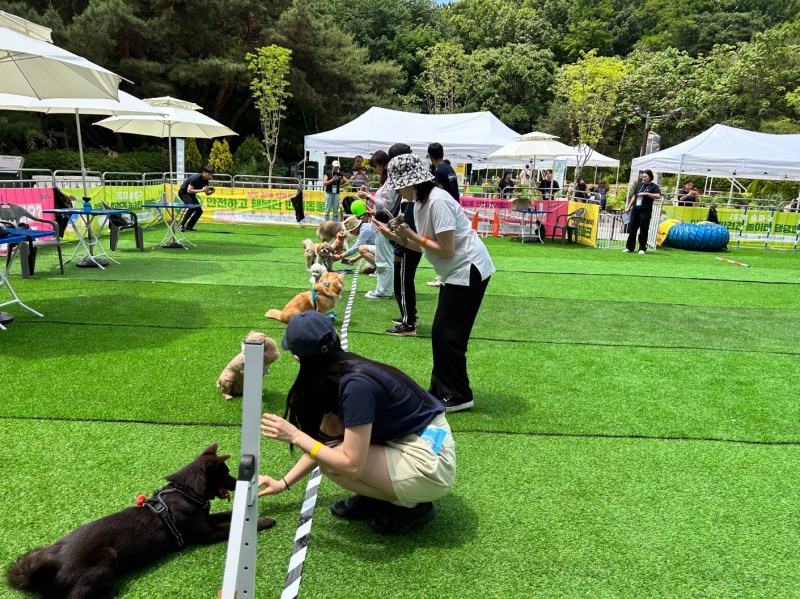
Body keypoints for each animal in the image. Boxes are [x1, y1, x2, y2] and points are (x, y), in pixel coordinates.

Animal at [6, 442, 276, 596]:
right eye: (227, 473)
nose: (238, 483)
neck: (185, 490)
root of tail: (51, 569)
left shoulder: (206, 519)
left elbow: (228, 515)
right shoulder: (208, 534)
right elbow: (229, 527)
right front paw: (263, 523)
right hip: (107, 556)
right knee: (74, 597)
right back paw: (109, 591)